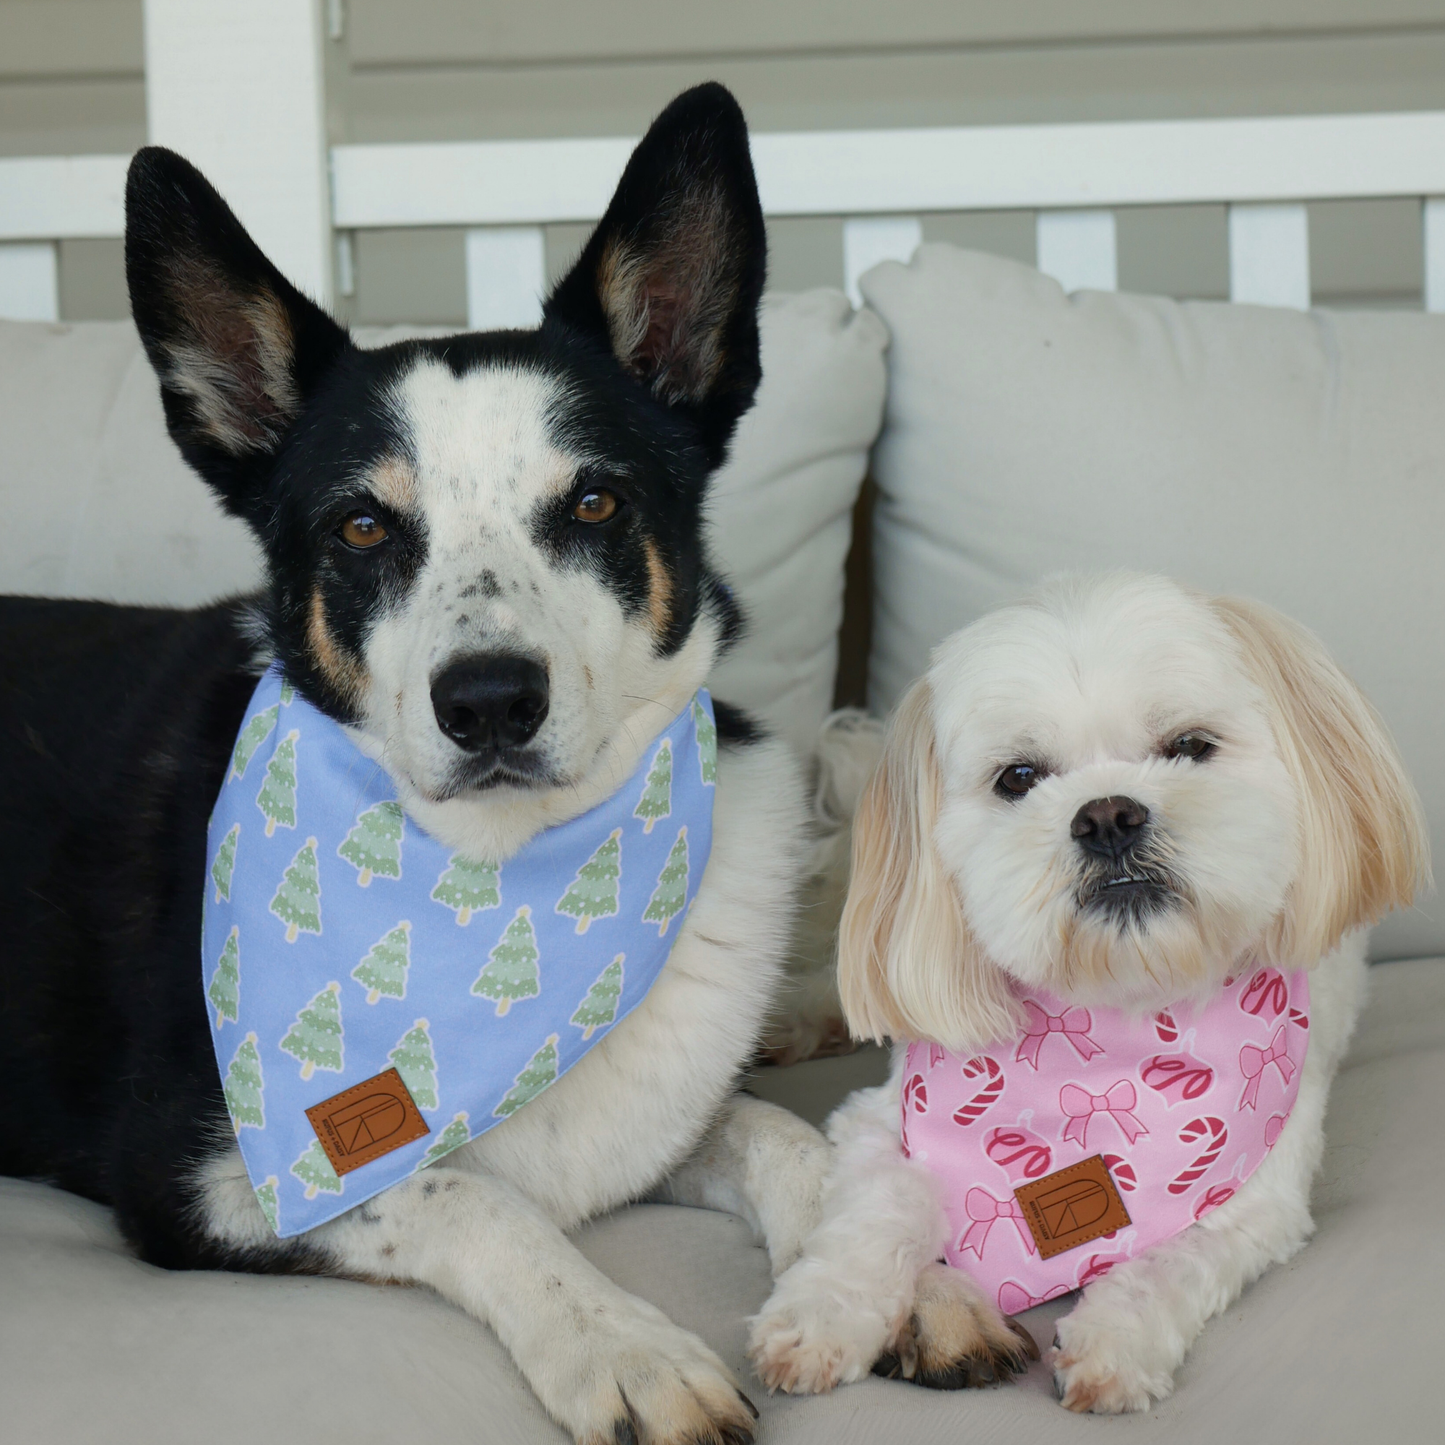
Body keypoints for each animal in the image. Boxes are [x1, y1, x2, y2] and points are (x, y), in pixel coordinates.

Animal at [0, 90, 843, 1445]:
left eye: (596, 504)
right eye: (361, 526)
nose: (490, 701)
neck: (504, 875)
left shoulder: (660, 1115)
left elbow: (781, 1131)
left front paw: (890, 1274)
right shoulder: (200, 1172)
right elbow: (465, 1191)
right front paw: (619, 1340)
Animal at [751, 572, 1427, 1410]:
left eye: (1189, 746)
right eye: (1017, 777)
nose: (1106, 814)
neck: (1118, 1011)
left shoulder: (1254, 1200)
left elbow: (1171, 1260)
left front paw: (1116, 1340)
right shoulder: (879, 1123)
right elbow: (871, 1218)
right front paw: (819, 1314)